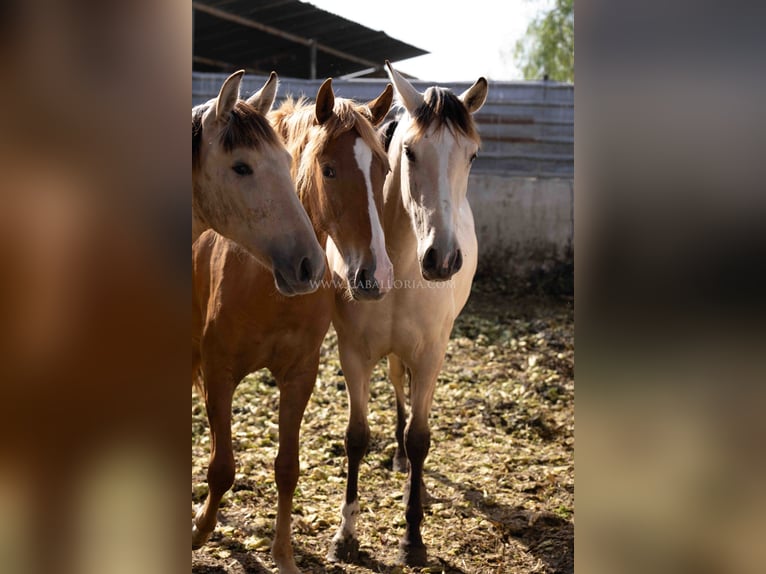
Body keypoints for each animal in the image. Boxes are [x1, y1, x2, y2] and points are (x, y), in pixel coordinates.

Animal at [328, 62, 488, 568]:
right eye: (411, 152)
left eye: (472, 155)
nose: (443, 259)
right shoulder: (353, 353)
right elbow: (356, 436)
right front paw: (346, 533)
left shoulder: (432, 352)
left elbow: (422, 437)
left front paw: (413, 538)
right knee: (399, 388)